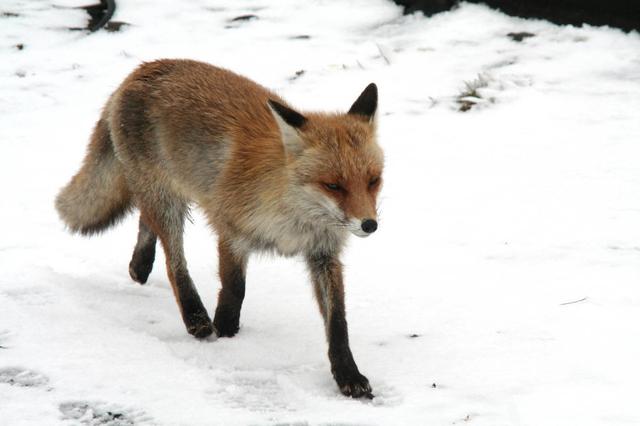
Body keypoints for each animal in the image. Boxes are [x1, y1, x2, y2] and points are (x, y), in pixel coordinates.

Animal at [55, 60, 382, 400]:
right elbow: (234, 288)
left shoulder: (323, 253)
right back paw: (196, 317)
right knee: (174, 262)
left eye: (373, 180)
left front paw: (348, 374)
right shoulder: (231, 231)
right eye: (333, 185)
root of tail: (141, 69)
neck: (293, 219)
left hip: (163, 193)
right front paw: (225, 334)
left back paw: (140, 264)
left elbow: (338, 320)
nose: (369, 224)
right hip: (167, 201)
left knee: (145, 217)